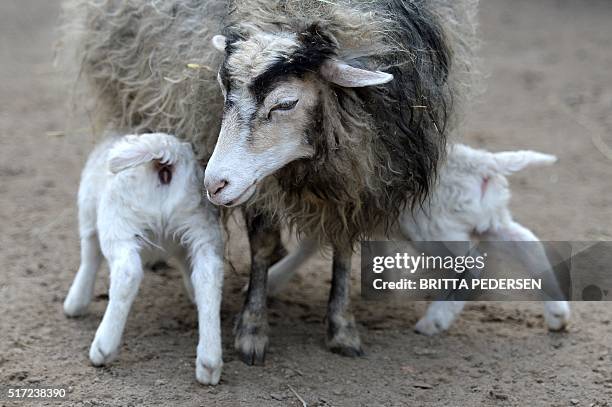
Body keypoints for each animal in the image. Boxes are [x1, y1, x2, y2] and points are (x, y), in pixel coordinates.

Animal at [63, 133, 225, 386]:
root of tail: (166, 155)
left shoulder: (88, 214)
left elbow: (89, 257)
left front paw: (75, 304)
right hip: (201, 223)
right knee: (209, 276)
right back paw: (209, 363)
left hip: (118, 221)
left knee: (127, 273)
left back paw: (102, 348)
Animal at [203, 0, 480, 364]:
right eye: (223, 91)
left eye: (285, 103)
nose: (214, 184)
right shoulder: (263, 186)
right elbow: (261, 242)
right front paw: (252, 330)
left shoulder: (360, 180)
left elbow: (344, 246)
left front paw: (342, 327)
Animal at [266, 145, 572, 336]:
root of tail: (480, 163)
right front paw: (380, 283)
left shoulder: (336, 214)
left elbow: (311, 243)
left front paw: (272, 279)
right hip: (491, 219)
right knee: (527, 244)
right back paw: (557, 314)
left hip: (433, 229)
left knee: (473, 267)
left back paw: (434, 320)